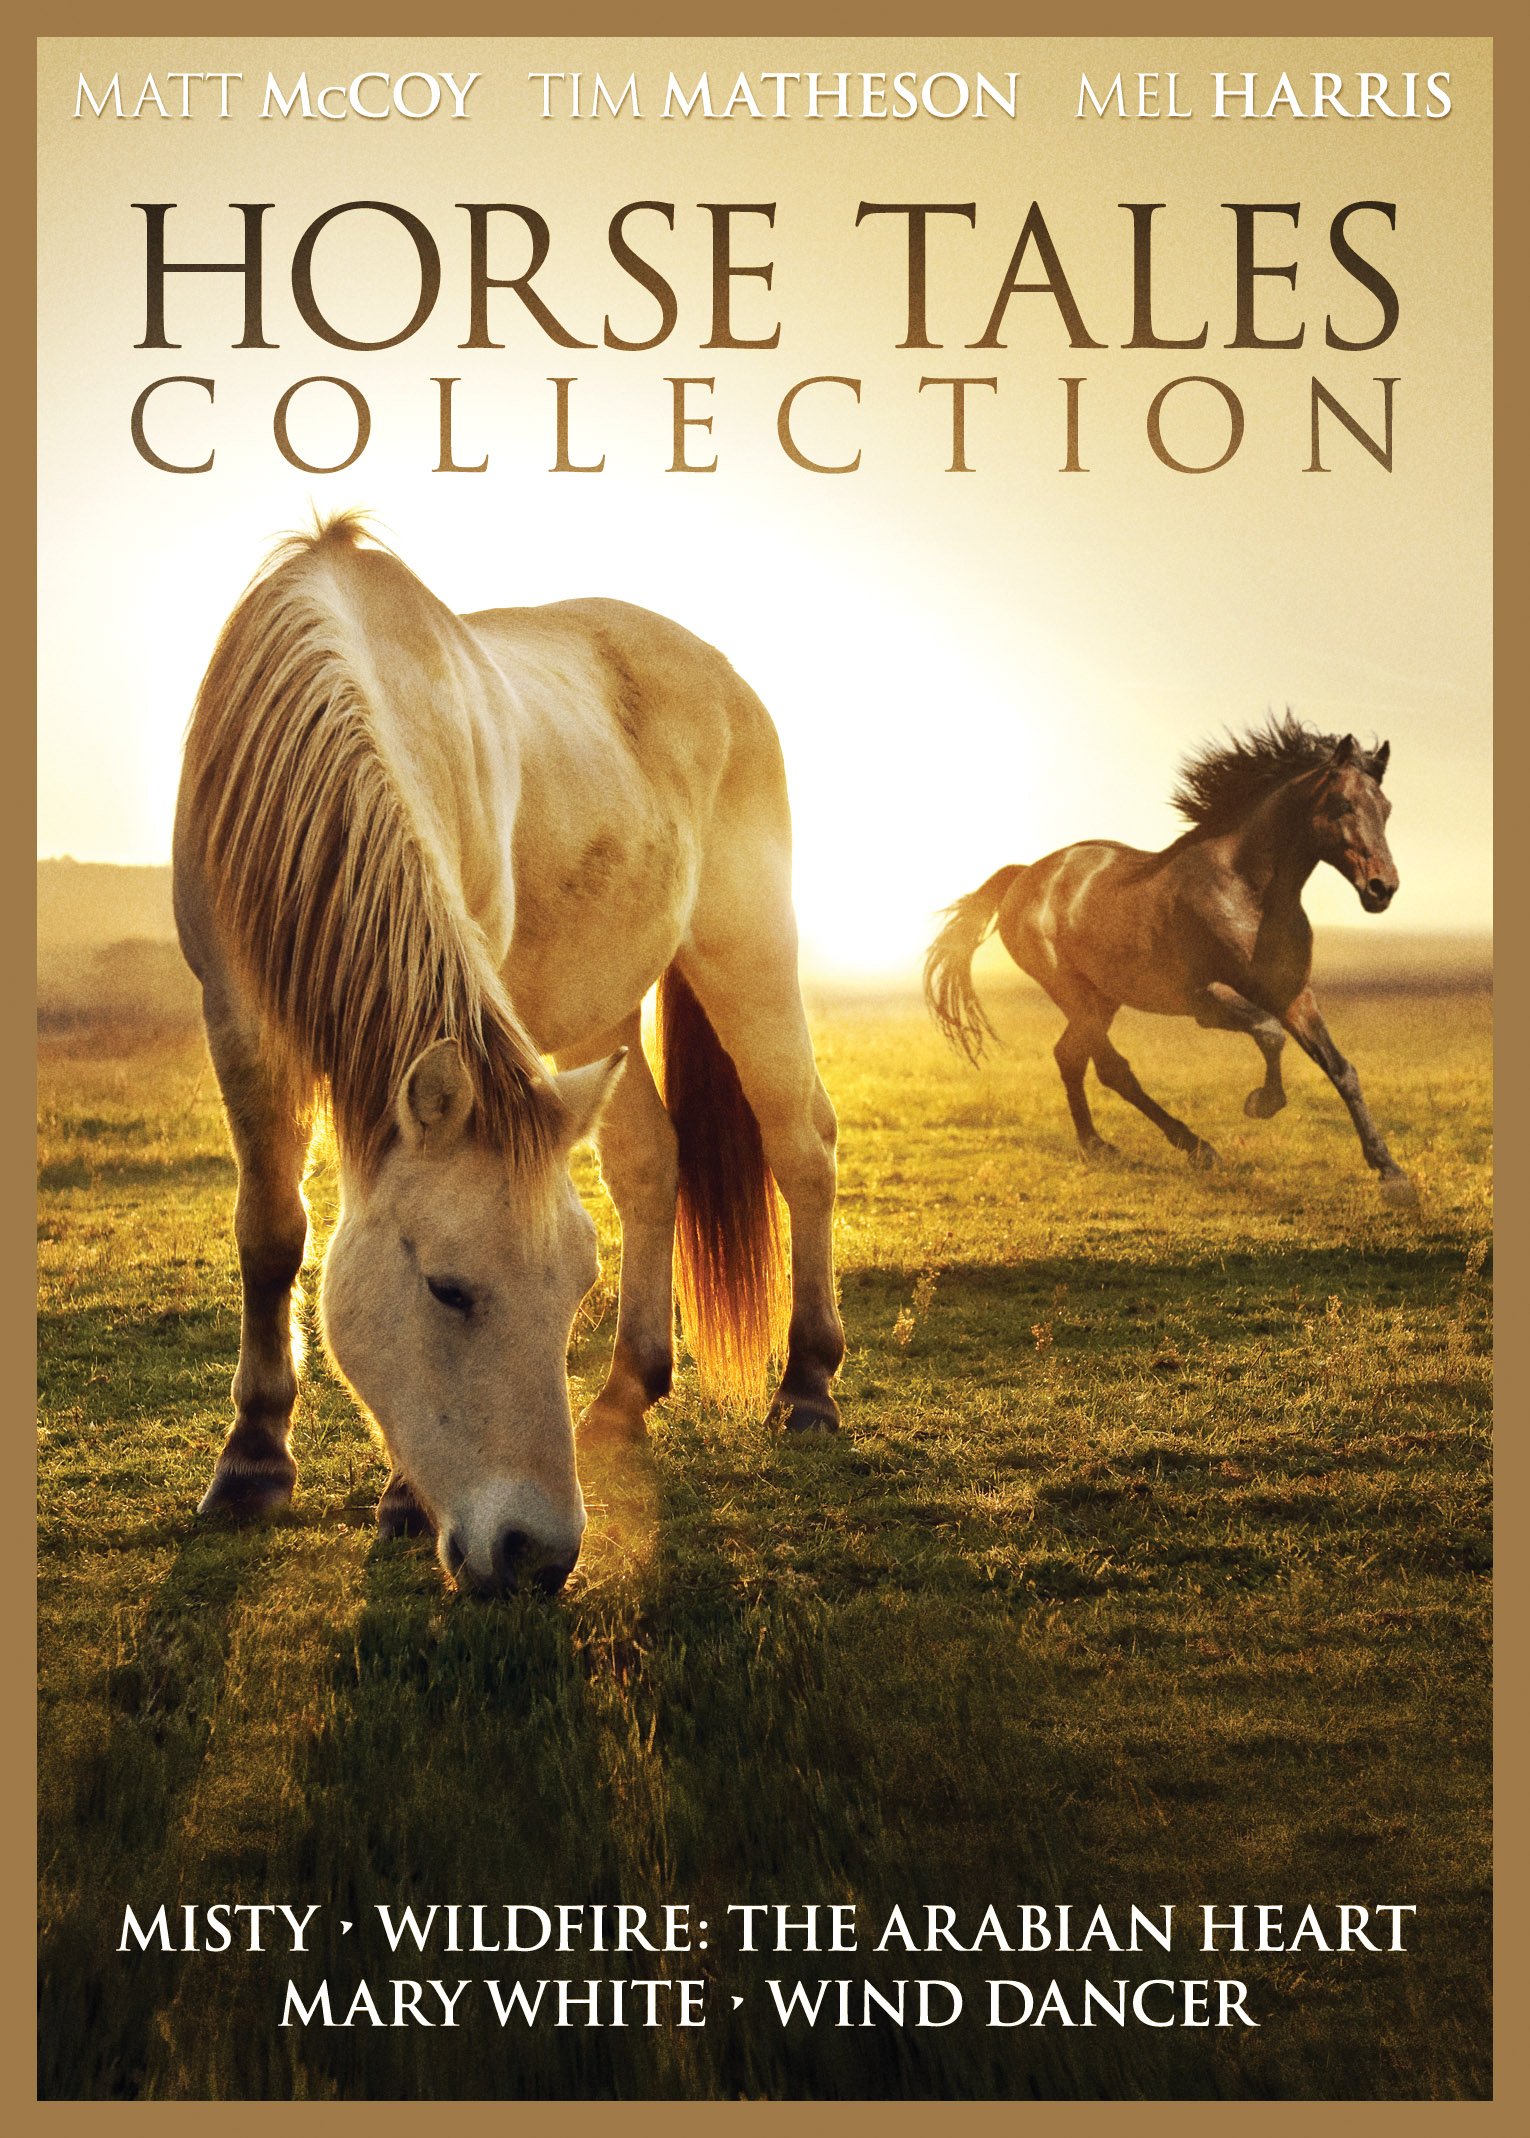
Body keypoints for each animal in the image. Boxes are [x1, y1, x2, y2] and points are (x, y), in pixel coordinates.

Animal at [173, 513, 844, 1596]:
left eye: (570, 1289)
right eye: (449, 1288)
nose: (537, 1552)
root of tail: (725, 676)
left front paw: (399, 1500)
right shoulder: (236, 1014)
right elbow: (271, 1232)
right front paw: (252, 1461)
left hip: (746, 952)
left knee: (801, 1143)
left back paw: (811, 1384)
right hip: (599, 1021)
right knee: (649, 1162)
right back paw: (626, 1391)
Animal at [923, 715, 1415, 1202]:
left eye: (1387, 809)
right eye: (1344, 804)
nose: (1382, 888)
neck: (1248, 892)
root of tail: (1026, 874)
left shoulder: (1294, 994)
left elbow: (1341, 1068)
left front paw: (1391, 1173)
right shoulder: (1204, 998)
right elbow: (1270, 1033)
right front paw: (1261, 1103)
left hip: (1103, 996)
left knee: (1070, 1056)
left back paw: (1097, 1145)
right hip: (1070, 989)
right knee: (1111, 1068)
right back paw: (1195, 1147)